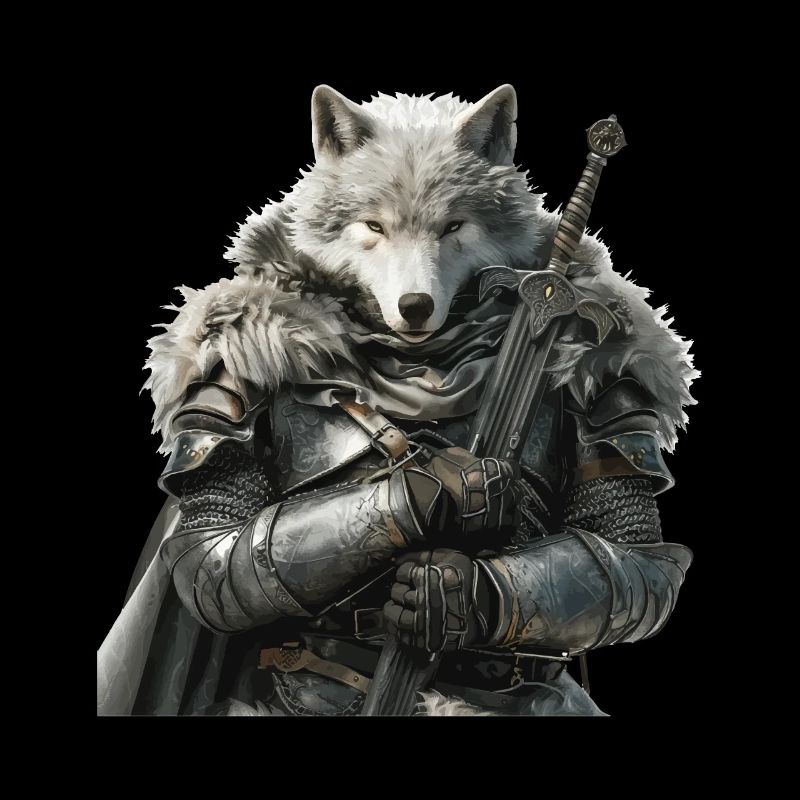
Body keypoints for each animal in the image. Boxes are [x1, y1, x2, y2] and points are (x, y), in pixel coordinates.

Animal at [97, 85, 698, 717]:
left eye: (454, 226)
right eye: (373, 226)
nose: (414, 307)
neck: (421, 364)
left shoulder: (606, 368)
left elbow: (632, 562)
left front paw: (459, 594)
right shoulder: (224, 377)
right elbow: (212, 560)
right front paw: (436, 492)